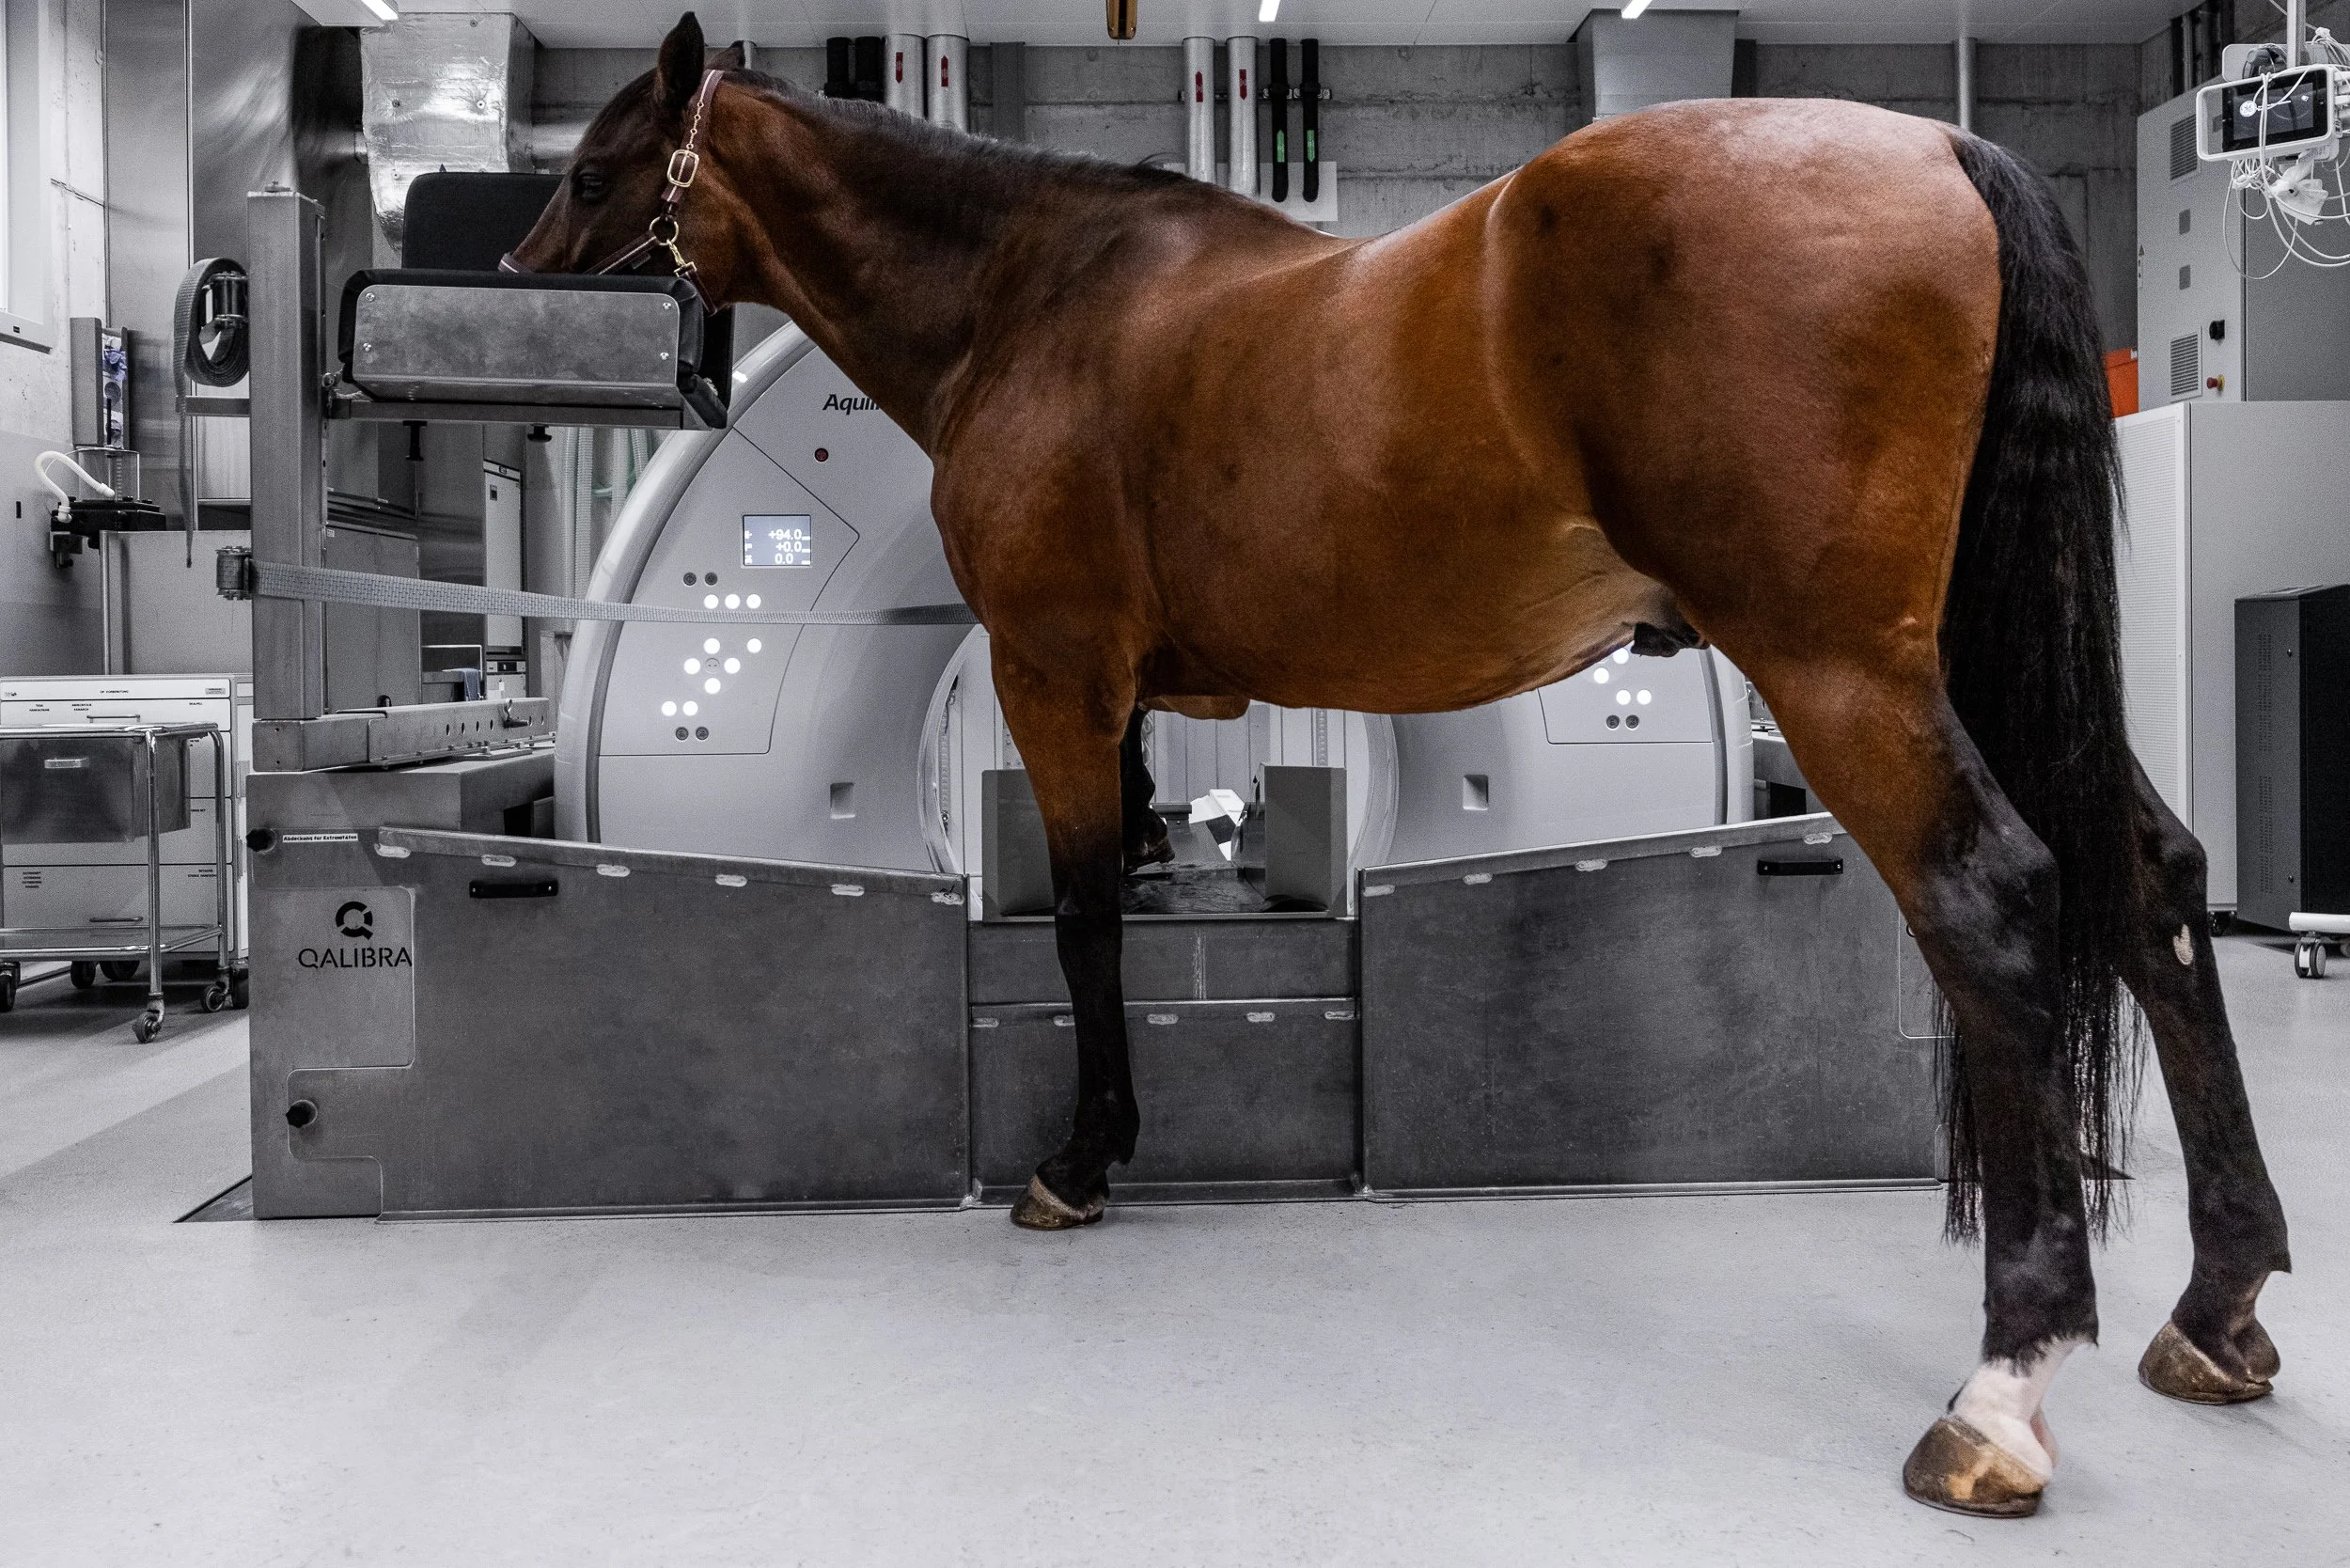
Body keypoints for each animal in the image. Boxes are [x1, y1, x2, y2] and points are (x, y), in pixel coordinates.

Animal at [510, 13, 2292, 1517]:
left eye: (593, 167)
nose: (521, 281)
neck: (1030, 301)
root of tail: (1943, 151)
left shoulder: (1052, 670)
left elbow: (1086, 919)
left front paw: (1080, 1164)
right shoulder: (1120, 695)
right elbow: (1122, 884)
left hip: (1850, 669)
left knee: (1995, 904)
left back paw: (2001, 1392)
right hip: (1978, 653)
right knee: (2151, 881)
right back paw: (2217, 1304)